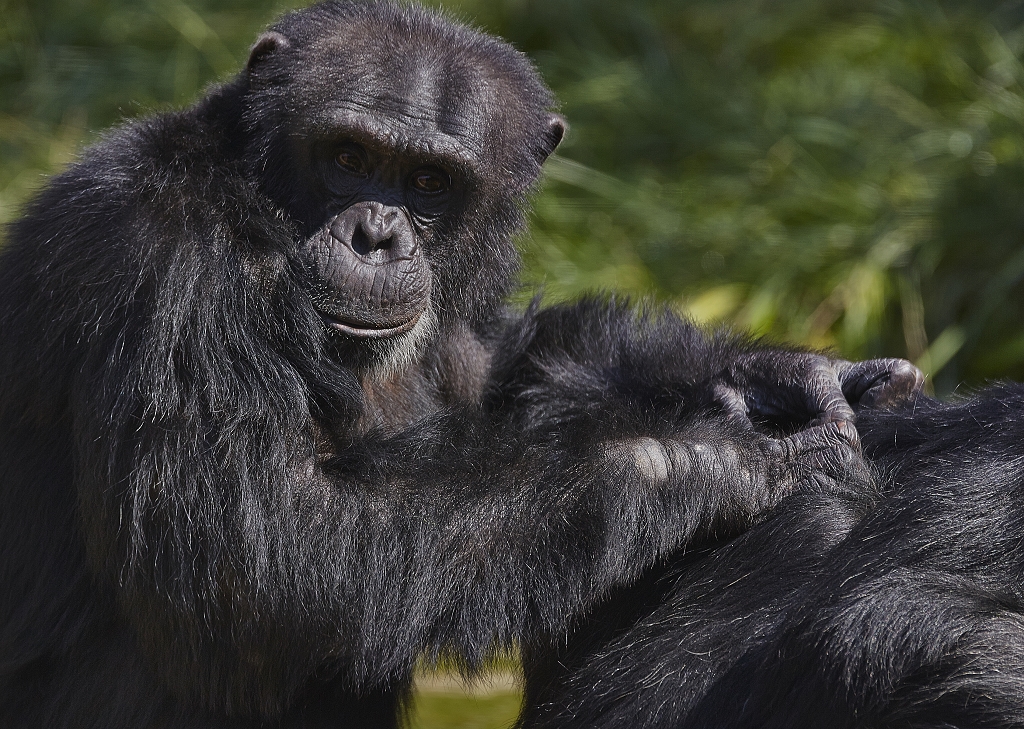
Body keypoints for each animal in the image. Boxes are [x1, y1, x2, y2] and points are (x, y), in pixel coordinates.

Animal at [0, 2, 917, 724]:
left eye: (430, 181)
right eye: (348, 157)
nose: (376, 234)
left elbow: (510, 369)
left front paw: (778, 374)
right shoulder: (172, 271)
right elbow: (257, 554)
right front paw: (727, 457)